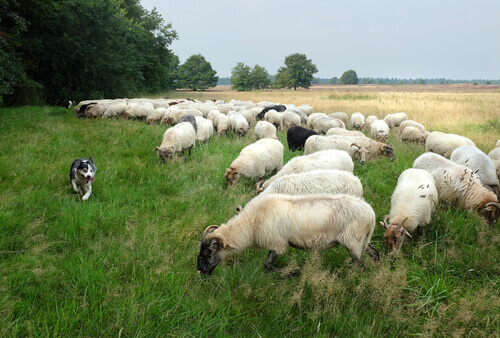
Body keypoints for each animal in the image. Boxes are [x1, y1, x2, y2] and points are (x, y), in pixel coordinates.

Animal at [195, 193, 378, 274]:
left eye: (205, 255)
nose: (201, 273)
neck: (250, 224)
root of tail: (370, 212)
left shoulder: (279, 244)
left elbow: (267, 265)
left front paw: (292, 272)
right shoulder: (274, 244)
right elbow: (267, 264)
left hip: (353, 242)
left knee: (360, 265)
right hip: (360, 241)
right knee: (375, 253)